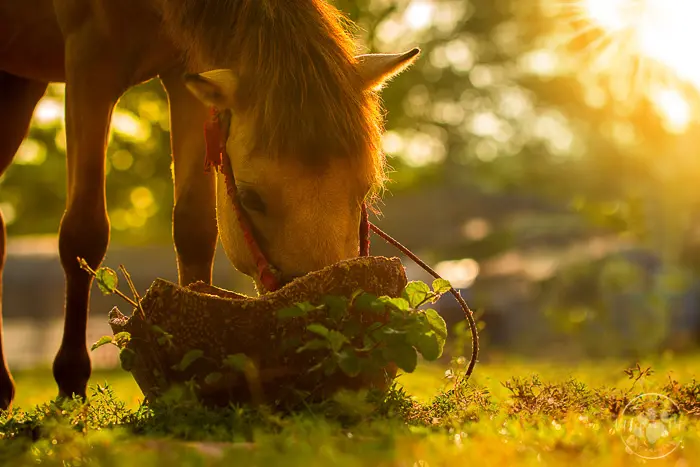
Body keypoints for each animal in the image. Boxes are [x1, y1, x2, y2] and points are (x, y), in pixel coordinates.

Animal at [0, 0, 418, 410]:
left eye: (363, 191)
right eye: (250, 198)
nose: (331, 331)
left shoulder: (186, 74)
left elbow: (194, 228)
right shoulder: (90, 61)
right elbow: (84, 234)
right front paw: (70, 382)